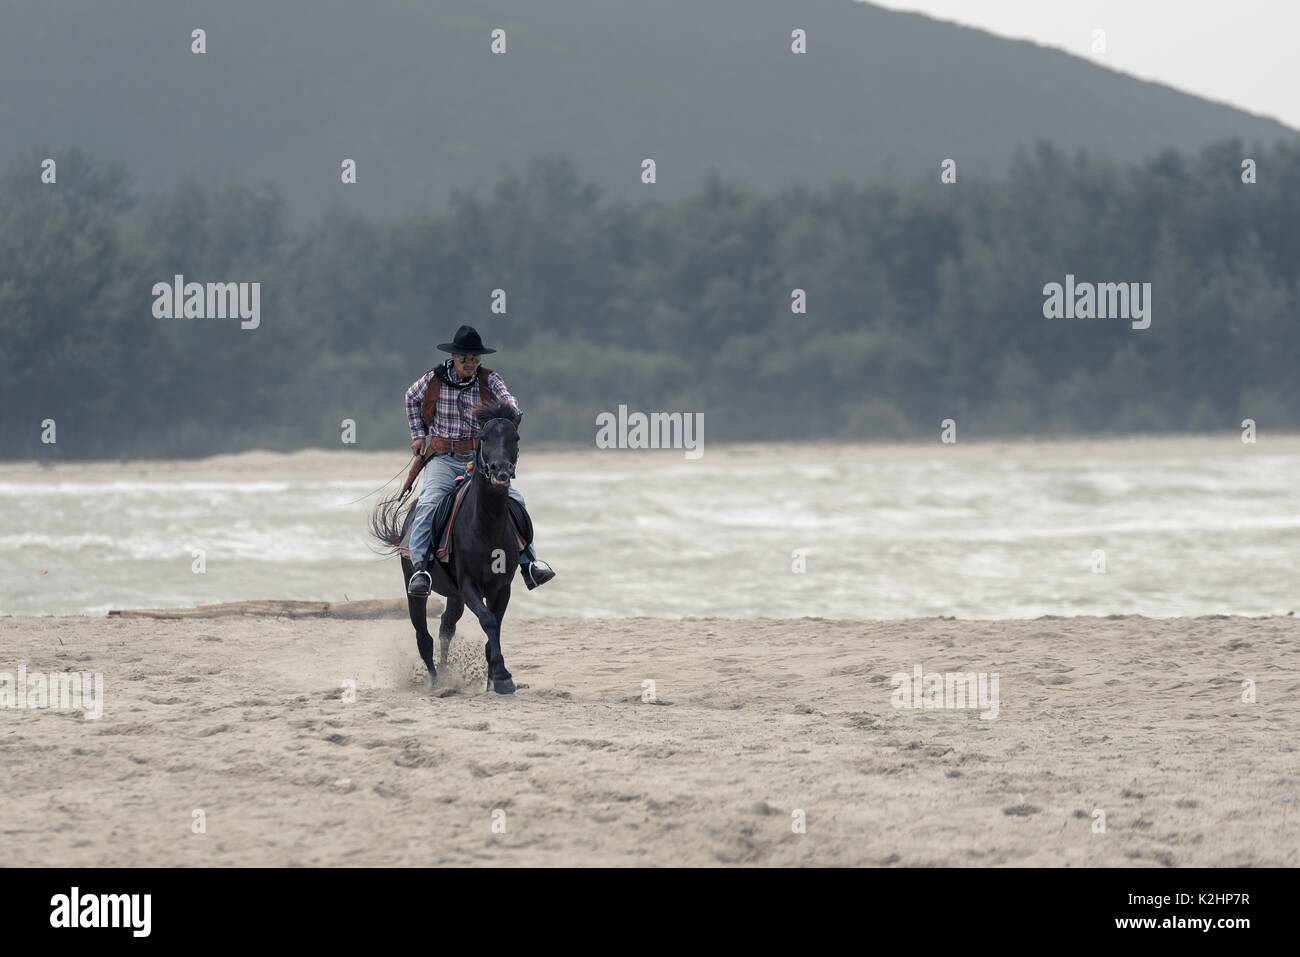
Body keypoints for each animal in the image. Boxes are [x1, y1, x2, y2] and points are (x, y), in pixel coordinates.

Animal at [369, 400, 520, 691]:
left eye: (515, 438)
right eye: (484, 437)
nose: (501, 470)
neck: (486, 527)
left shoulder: (501, 587)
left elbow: (494, 626)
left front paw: (495, 679)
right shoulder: (469, 584)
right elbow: (488, 620)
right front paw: (503, 678)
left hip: (454, 596)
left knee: (445, 629)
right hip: (416, 592)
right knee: (423, 637)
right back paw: (437, 682)